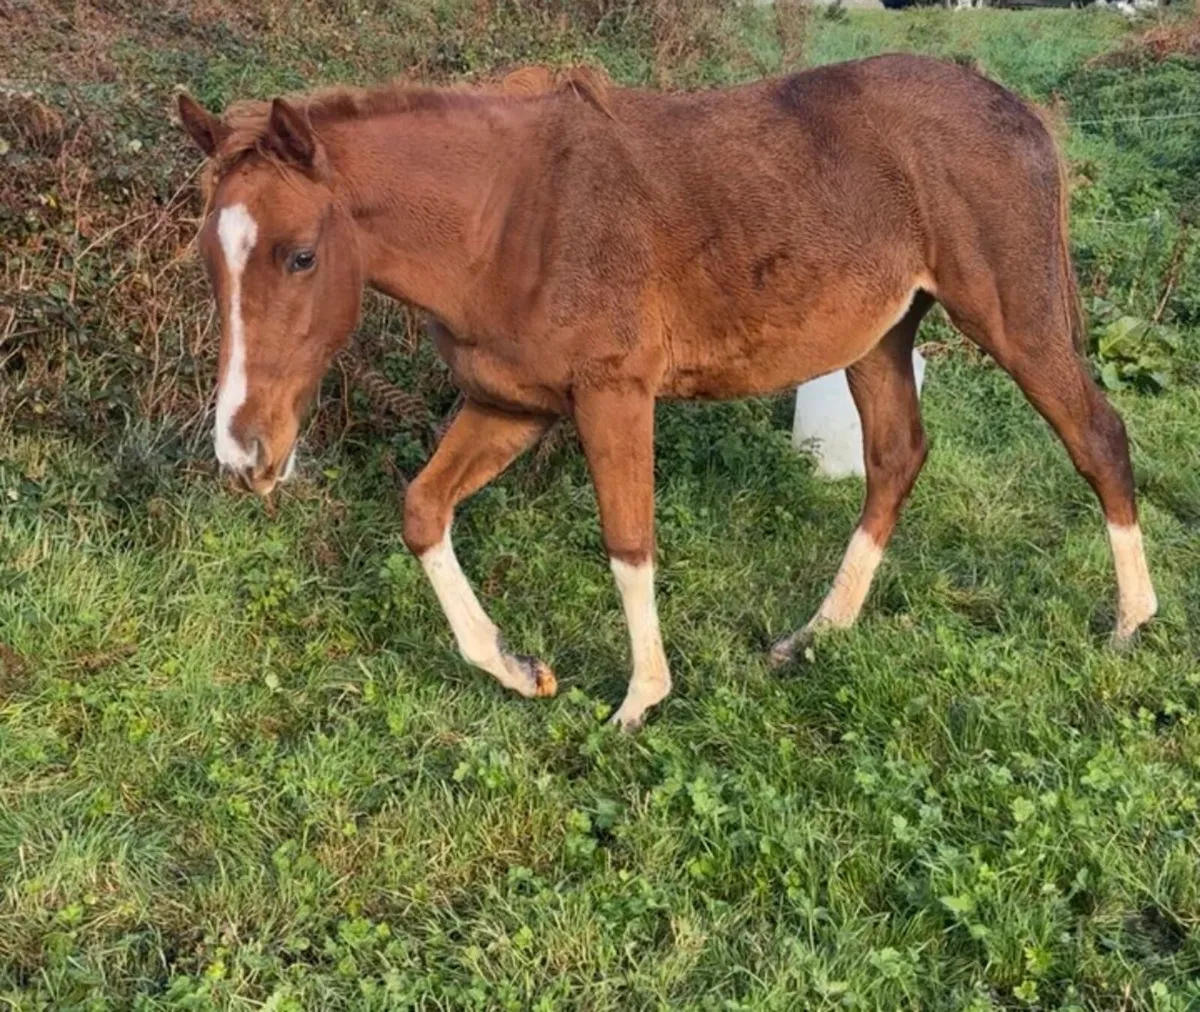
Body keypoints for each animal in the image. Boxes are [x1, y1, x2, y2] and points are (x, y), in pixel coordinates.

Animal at [176, 55, 1157, 730]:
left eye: (302, 255)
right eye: (208, 259)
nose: (244, 453)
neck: (507, 218)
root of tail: (1013, 106)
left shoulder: (614, 396)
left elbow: (629, 540)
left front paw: (640, 701)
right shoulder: (513, 404)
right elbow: (422, 511)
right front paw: (519, 668)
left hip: (1014, 318)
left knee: (1097, 435)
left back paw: (1130, 625)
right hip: (880, 337)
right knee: (894, 460)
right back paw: (815, 636)